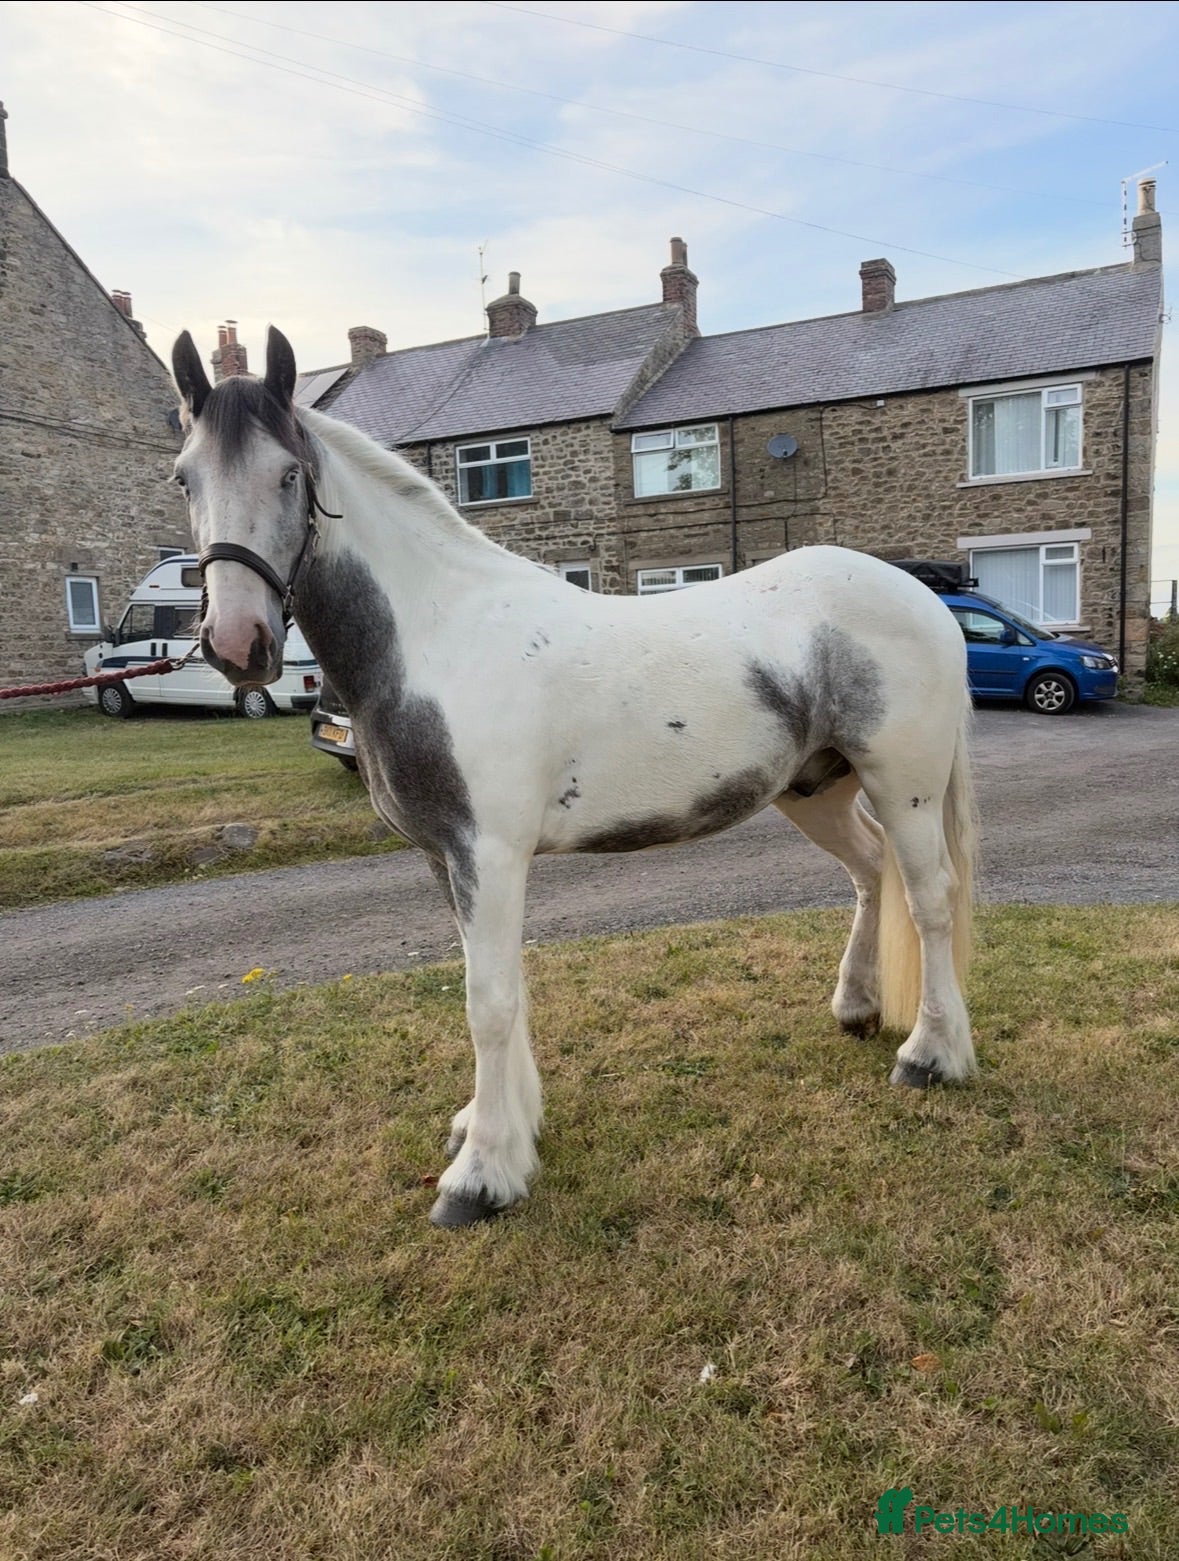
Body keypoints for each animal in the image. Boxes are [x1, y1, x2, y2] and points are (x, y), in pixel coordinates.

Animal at [170, 325, 977, 1228]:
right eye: (184, 477)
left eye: (288, 473)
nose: (236, 643)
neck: (439, 634)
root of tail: (922, 598)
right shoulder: (446, 857)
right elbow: (498, 988)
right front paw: (498, 1126)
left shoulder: (487, 854)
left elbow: (487, 1001)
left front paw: (480, 1177)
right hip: (816, 790)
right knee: (871, 873)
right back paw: (857, 1007)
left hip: (903, 784)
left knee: (929, 899)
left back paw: (930, 1055)